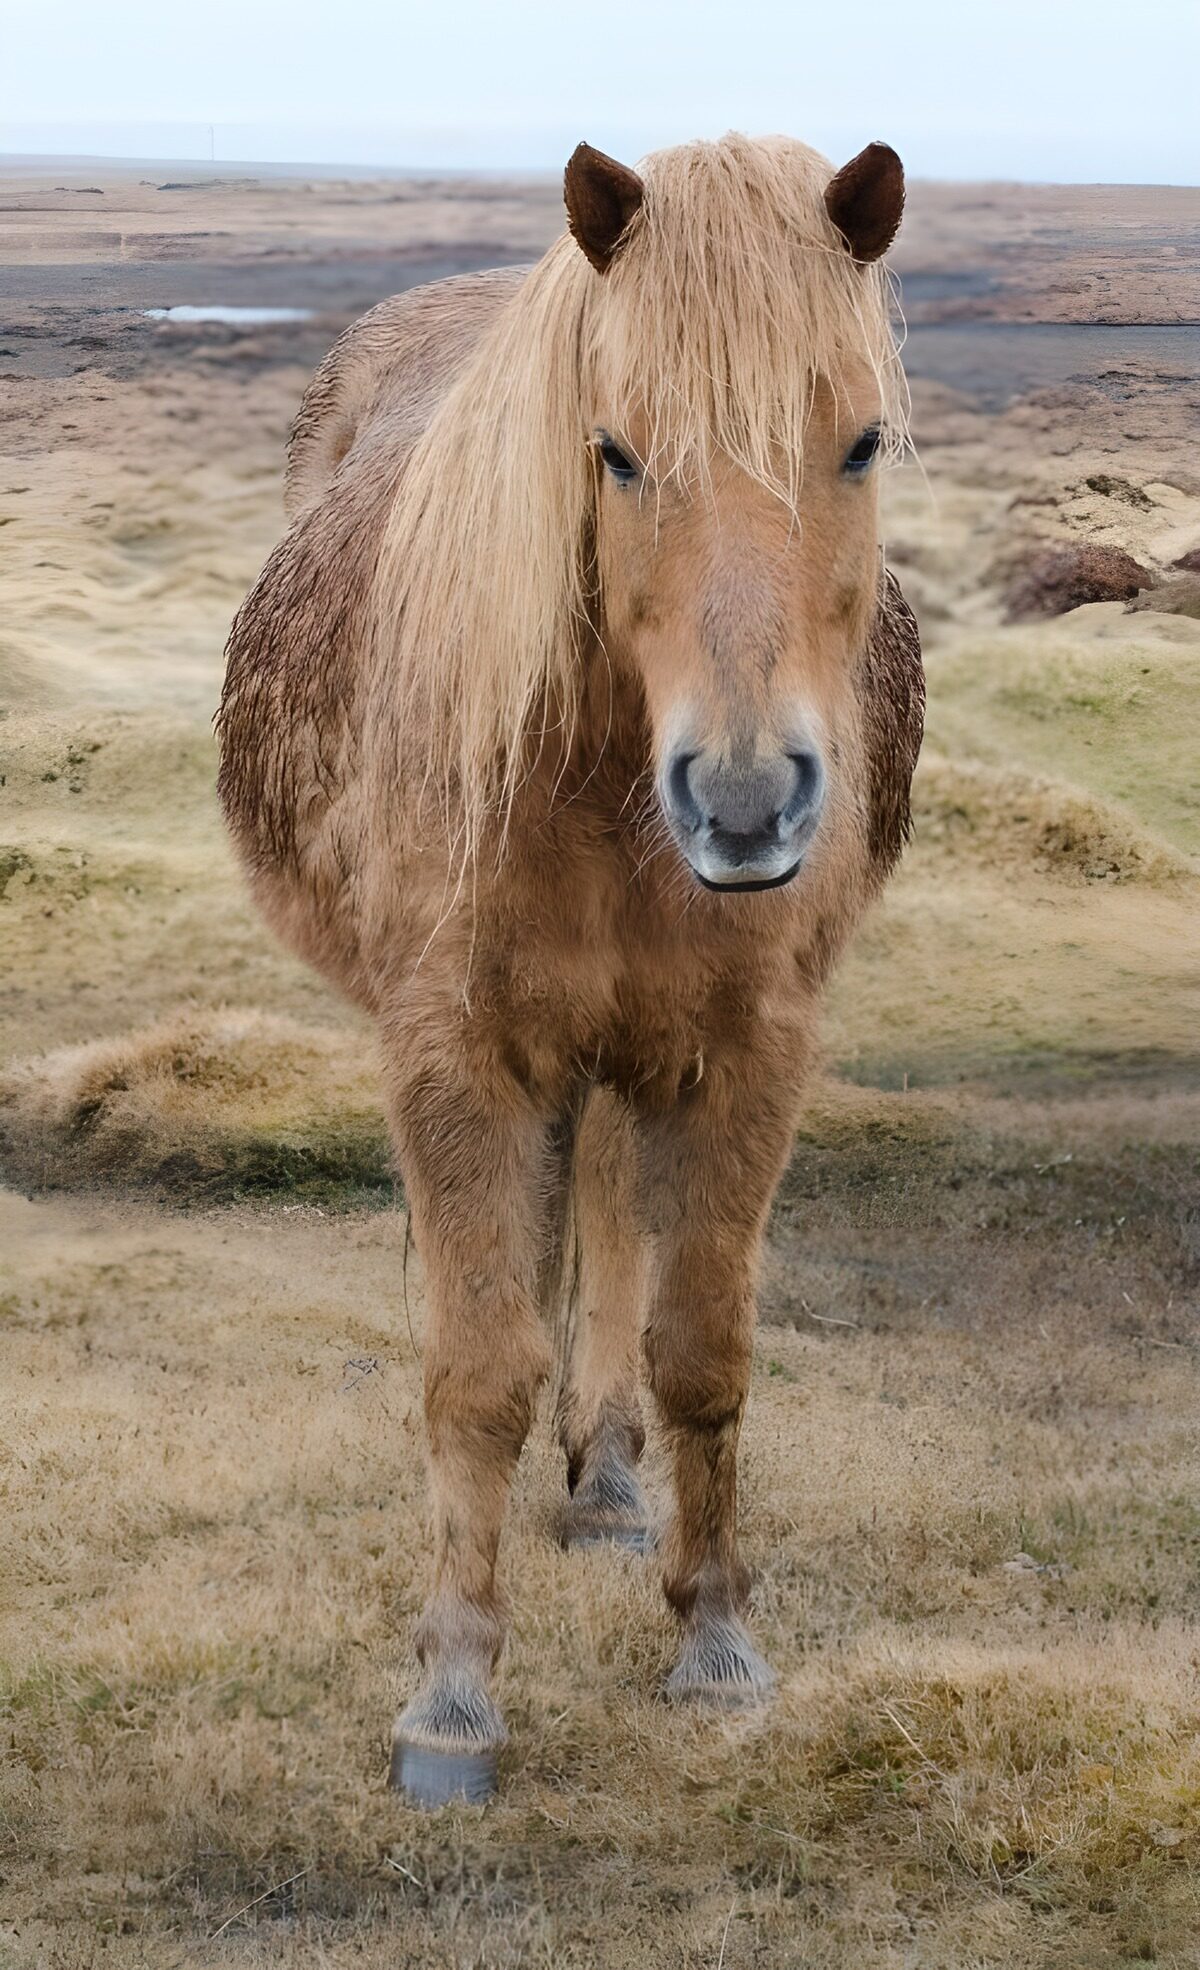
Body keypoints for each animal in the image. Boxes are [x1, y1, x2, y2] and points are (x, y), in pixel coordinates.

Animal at [217, 132, 924, 1806]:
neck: (600, 782)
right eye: (612, 451)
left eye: (860, 442)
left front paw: (716, 1638)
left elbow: (704, 1350)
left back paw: (604, 1475)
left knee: (602, 1214)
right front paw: (452, 1694)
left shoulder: (751, 1048)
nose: (745, 801)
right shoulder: (454, 1051)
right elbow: (477, 1364)